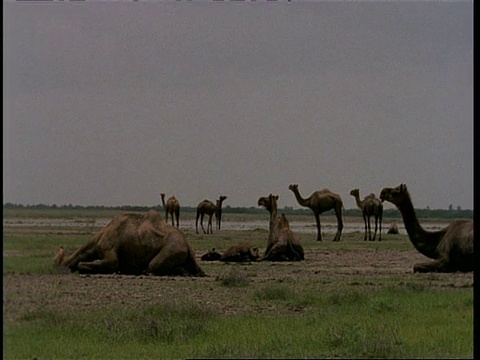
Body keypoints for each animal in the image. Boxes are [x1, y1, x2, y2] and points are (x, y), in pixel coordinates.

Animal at [54, 211, 204, 276]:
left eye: (57, 261)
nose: (56, 268)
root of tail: (187, 244)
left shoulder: (109, 252)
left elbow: (107, 263)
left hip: (173, 248)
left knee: (153, 265)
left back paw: (146, 271)